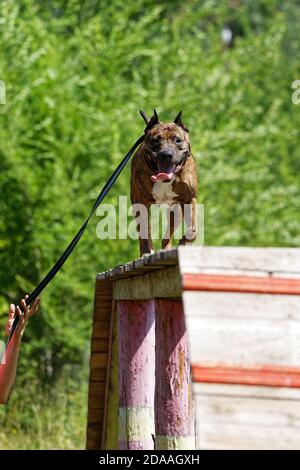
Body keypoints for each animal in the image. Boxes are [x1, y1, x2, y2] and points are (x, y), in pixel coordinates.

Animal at [130, 109, 198, 258]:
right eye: (155, 140)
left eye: (178, 140)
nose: (166, 154)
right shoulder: (140, 203)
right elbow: (145, 231)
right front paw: (147, 251)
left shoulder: (189, 199)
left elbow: (193, 228)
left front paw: (184, 243)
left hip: (175, 211)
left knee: (167, 235)